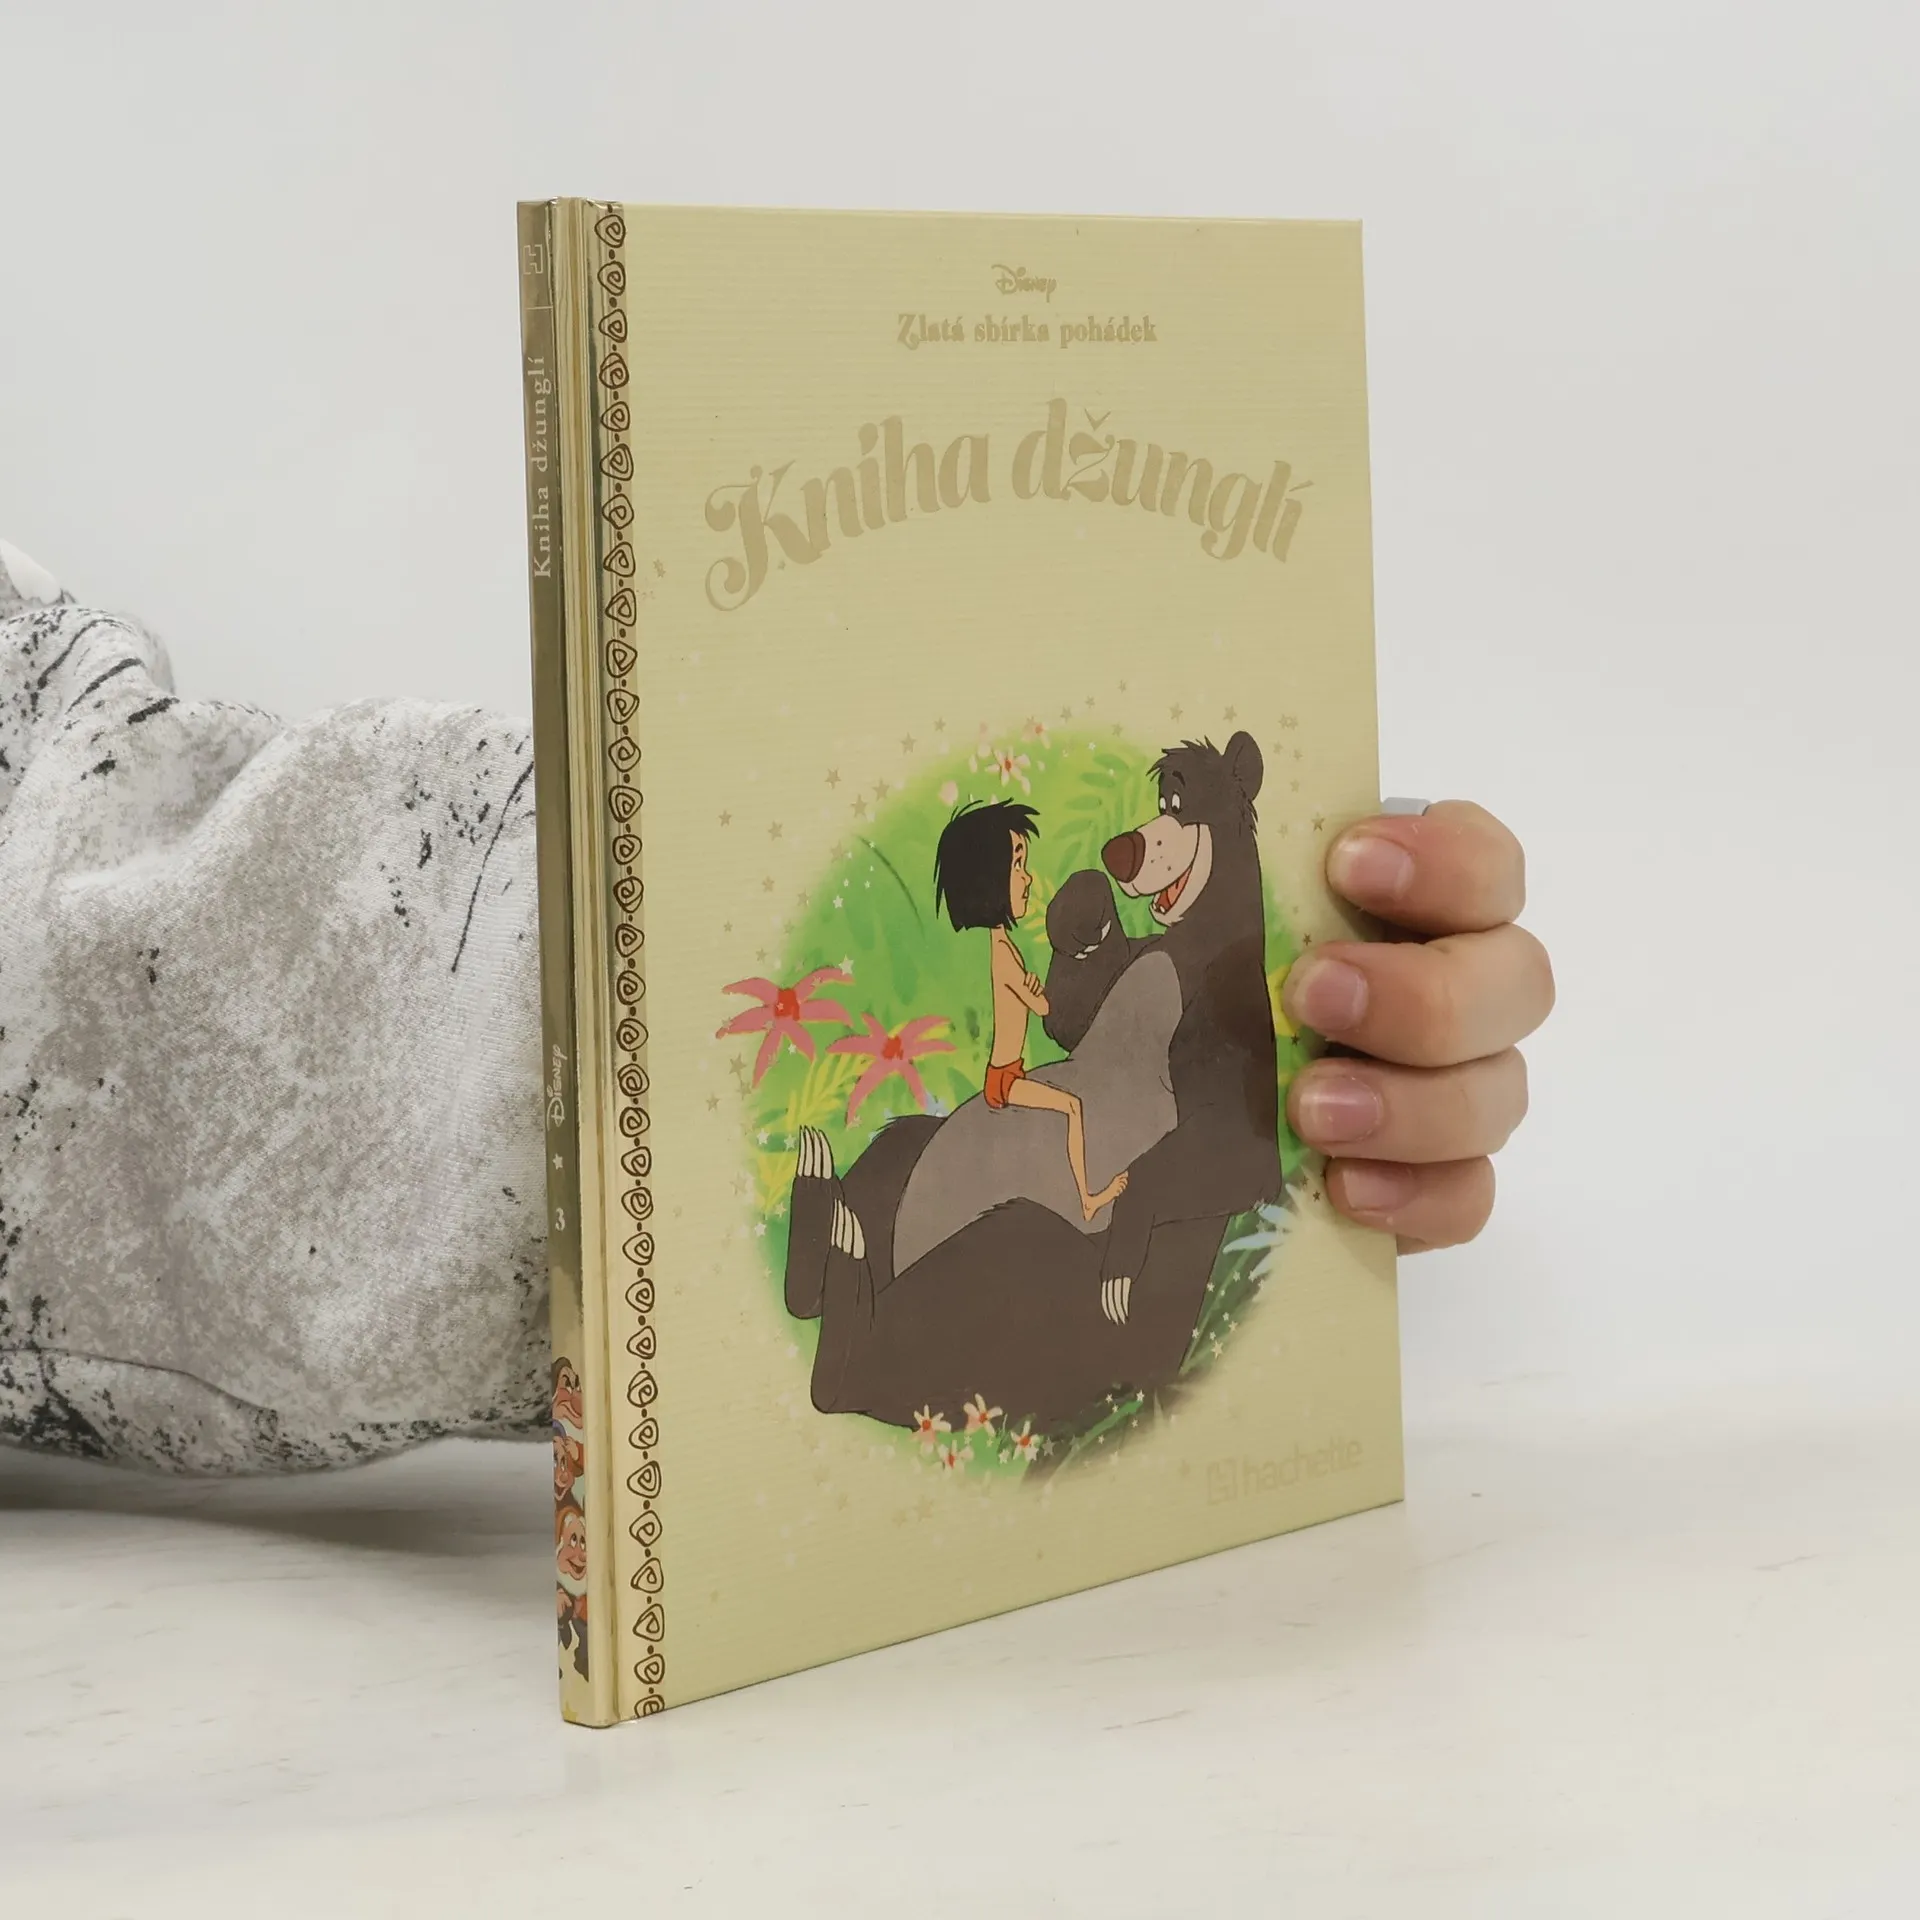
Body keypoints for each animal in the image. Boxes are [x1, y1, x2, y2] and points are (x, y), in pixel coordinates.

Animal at [782, 730, 1281, 1435]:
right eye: (1161, 800)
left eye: (1180, 807)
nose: (1118, 851)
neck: (1189, 941)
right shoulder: (1137, 969)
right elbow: (1075, 1015)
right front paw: (1083, 908)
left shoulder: (1229, 1022)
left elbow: (1235, 1155)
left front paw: (1124, 1255)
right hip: (915, 1173)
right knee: (894, 1153)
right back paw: (822, 1210)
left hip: (1047, 1303)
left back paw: (848, 1294)